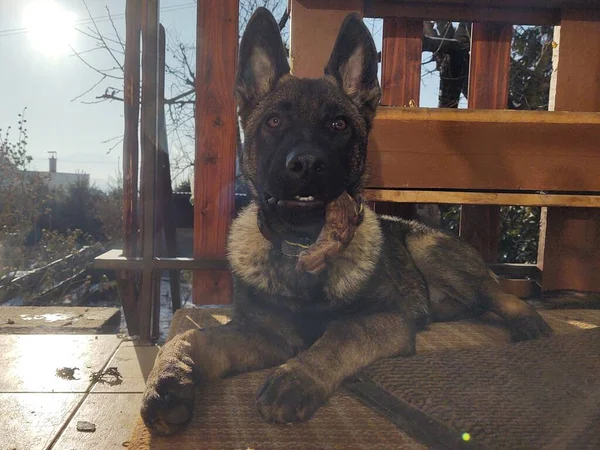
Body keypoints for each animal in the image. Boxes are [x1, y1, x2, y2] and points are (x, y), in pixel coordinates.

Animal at [141, 7, 552, 436]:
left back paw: (528, 324)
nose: (306, 164)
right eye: (273, 123)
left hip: (428, 251)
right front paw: (168, 380)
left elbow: (341, 331)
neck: (307, 247)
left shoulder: (386, 318)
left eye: (339, 124)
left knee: (498, 294)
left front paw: (298, 377)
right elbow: (191, 337)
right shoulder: (265, 333)